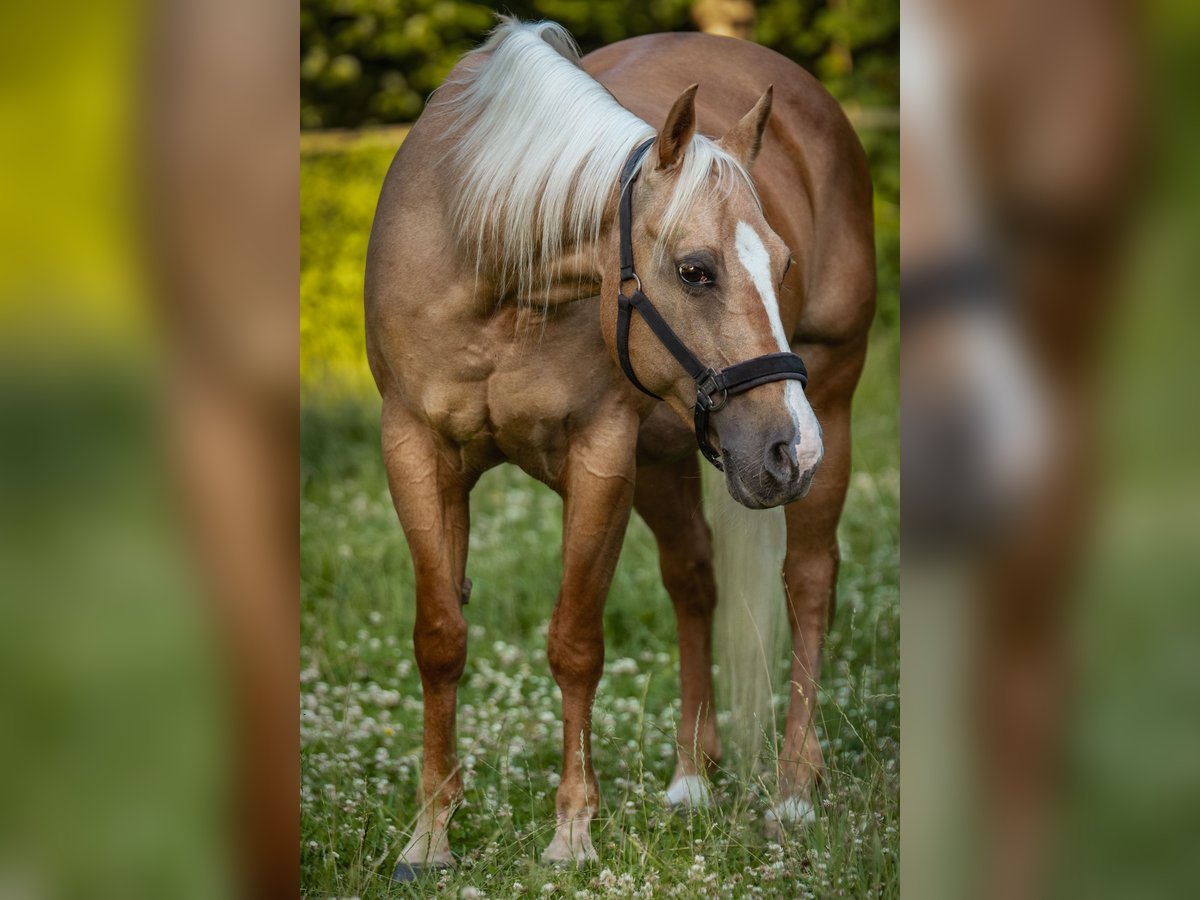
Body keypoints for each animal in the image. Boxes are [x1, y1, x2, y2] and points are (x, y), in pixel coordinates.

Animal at [364, 19, 875, 877]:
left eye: (783, 264)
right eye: (695, 270)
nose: (790, 449)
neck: (486, 257)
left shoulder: (599, 458)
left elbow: (576, 644)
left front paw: (571, 833)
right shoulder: (416, 450)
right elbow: (439, 639)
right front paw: (428, 835)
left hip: (828, 402)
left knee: (807, 583)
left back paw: (793, 792)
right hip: (669, 457)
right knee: (693, 579)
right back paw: (692, 776)